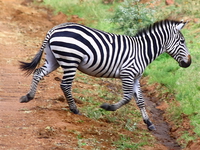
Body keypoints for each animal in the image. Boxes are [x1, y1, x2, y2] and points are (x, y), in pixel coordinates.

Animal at [19, 19, 191, 130]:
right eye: (182, 41)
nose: (189, 63)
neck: (142, 51)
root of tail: (54, 29)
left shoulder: (136, 77)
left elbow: (141, 101)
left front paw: (149, 123)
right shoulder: (127, 73)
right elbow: (128, 98)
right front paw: (107, 107)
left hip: (54, 59)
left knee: (38, 73)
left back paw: (28, 96)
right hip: (70, 60)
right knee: (65, 84)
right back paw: (74, 109)